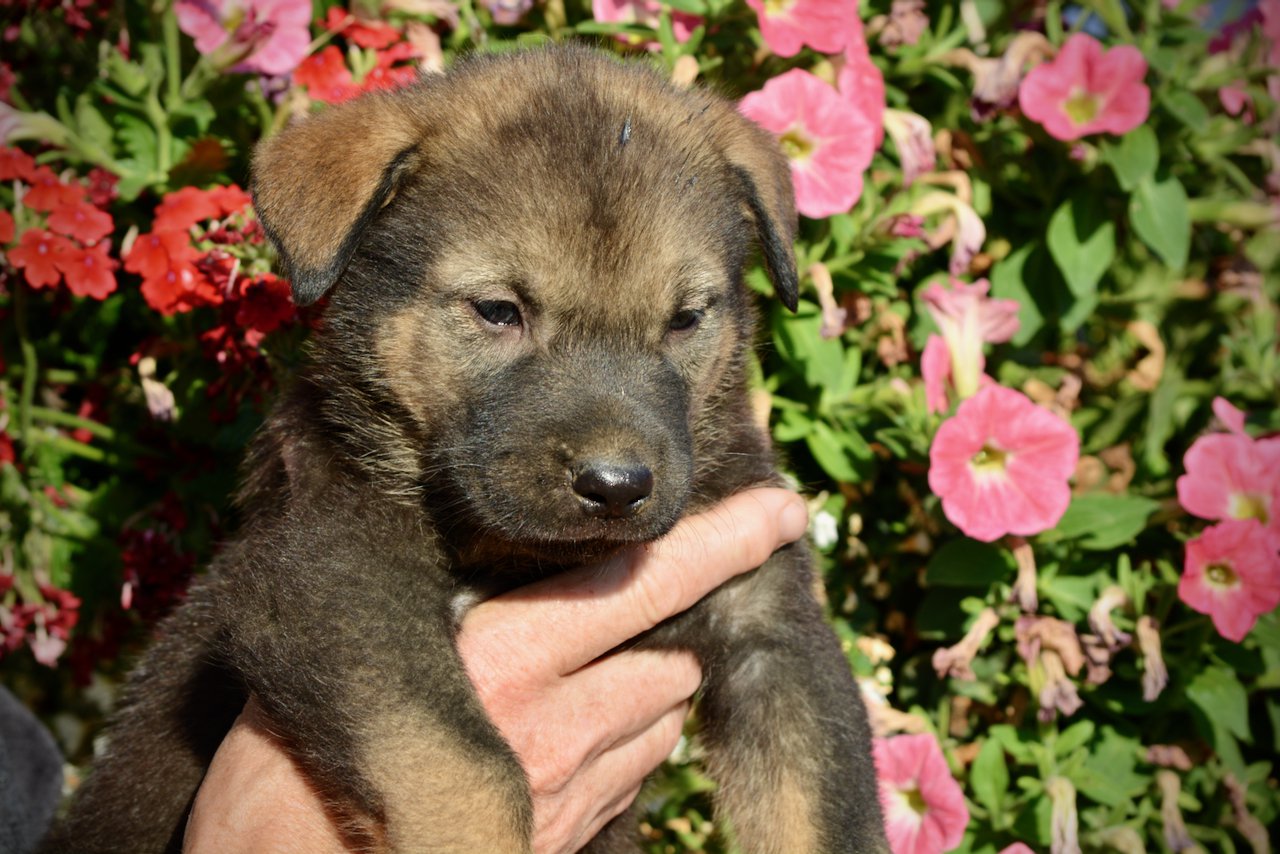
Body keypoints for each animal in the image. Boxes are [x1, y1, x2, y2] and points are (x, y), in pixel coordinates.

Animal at [47, 46, 890, 854]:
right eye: (498, 311)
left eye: (685, 319)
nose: (616, 485)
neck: (529, 558)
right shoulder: (333, 578)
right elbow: (466, 768)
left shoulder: (772, 630)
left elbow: (824, 810)